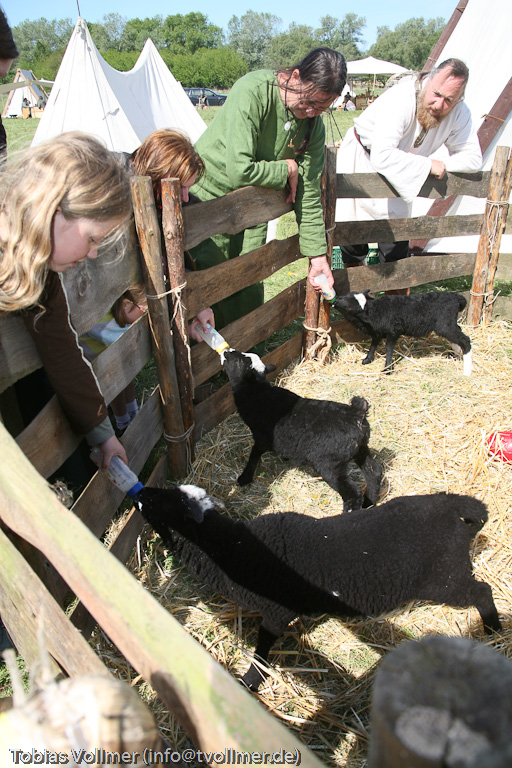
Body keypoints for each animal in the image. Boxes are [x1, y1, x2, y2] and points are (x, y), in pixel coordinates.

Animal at [137, 485, 502, 692]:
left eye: (163, 503)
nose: (139, 493)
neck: (233, 549)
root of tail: (456, 511)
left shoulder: (276, 612)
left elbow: (262, 650)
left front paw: (249, 682)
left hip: (445, 579)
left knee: (482, 592)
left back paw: (494, 630)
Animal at [219, 348, 382, 513]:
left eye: (239, 361)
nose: (227, 350)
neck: (257, 393)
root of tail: (356, 414)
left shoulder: (261, 437)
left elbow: (254, 455)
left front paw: (244, 478)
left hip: (329, 463)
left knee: (353, 493)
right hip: (360, 449)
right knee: (374, 472)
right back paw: (369, 503)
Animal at [334, 290, 472, 375]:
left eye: (349, 307)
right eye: (349, 294)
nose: (337, 299)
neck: (373, 311)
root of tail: (458, 298)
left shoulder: (394, 331)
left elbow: (388, 348)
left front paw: (387, 369)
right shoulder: (378, 332)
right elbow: (373, 346)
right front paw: (367, 360)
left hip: (444, 325)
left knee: (465, 340)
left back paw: (466, 370)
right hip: (449, 324)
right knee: (459, 332)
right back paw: (456, 353)